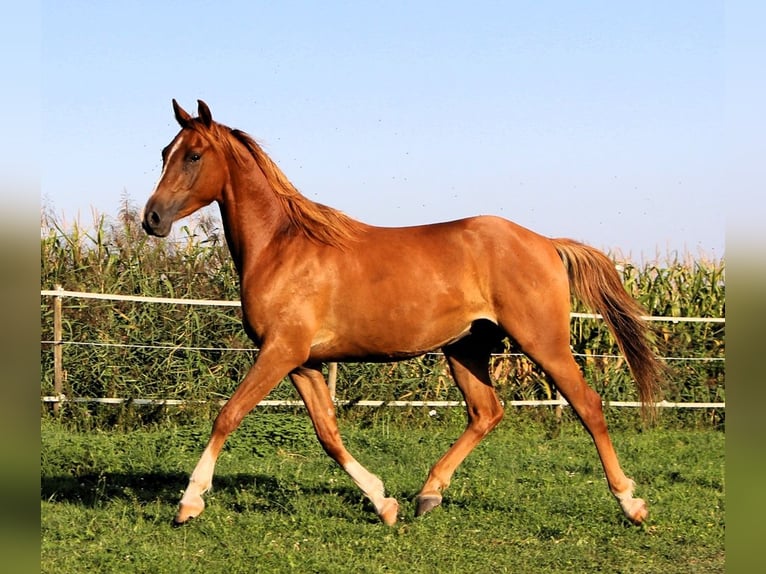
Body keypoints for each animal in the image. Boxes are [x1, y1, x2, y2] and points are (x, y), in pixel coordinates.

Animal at [142, 100, 664, 532]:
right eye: (166, 150)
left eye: (193, 156)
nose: (152, 219)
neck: (282, 247)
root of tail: (546, 243)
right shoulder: (304, 362)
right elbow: (328, 434)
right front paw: (383, 503)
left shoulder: (280, 351)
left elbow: (228, 415)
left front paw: (189, 503)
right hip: (465, 349)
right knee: (486, 412)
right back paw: (427, 495)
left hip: (543, 342)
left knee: (588, 405)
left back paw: (631, 504)